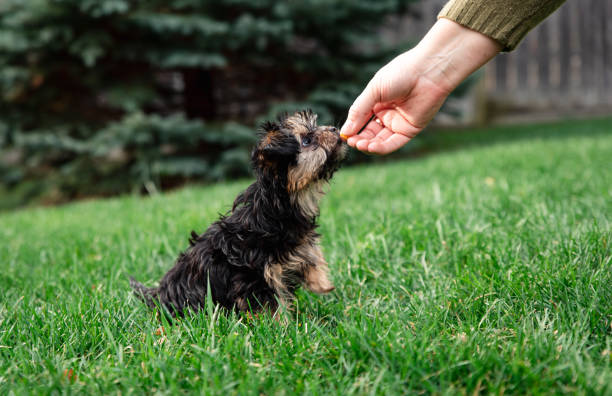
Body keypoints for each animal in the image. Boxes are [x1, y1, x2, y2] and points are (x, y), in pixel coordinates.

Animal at [130, 110, 346, 316]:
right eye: (307, 140)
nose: (335, 129)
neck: (277, 208)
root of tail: (157, 297)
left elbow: (310, 256)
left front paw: (321, 283)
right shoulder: (254, 275)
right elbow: (270, 305)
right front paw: (280, 326)